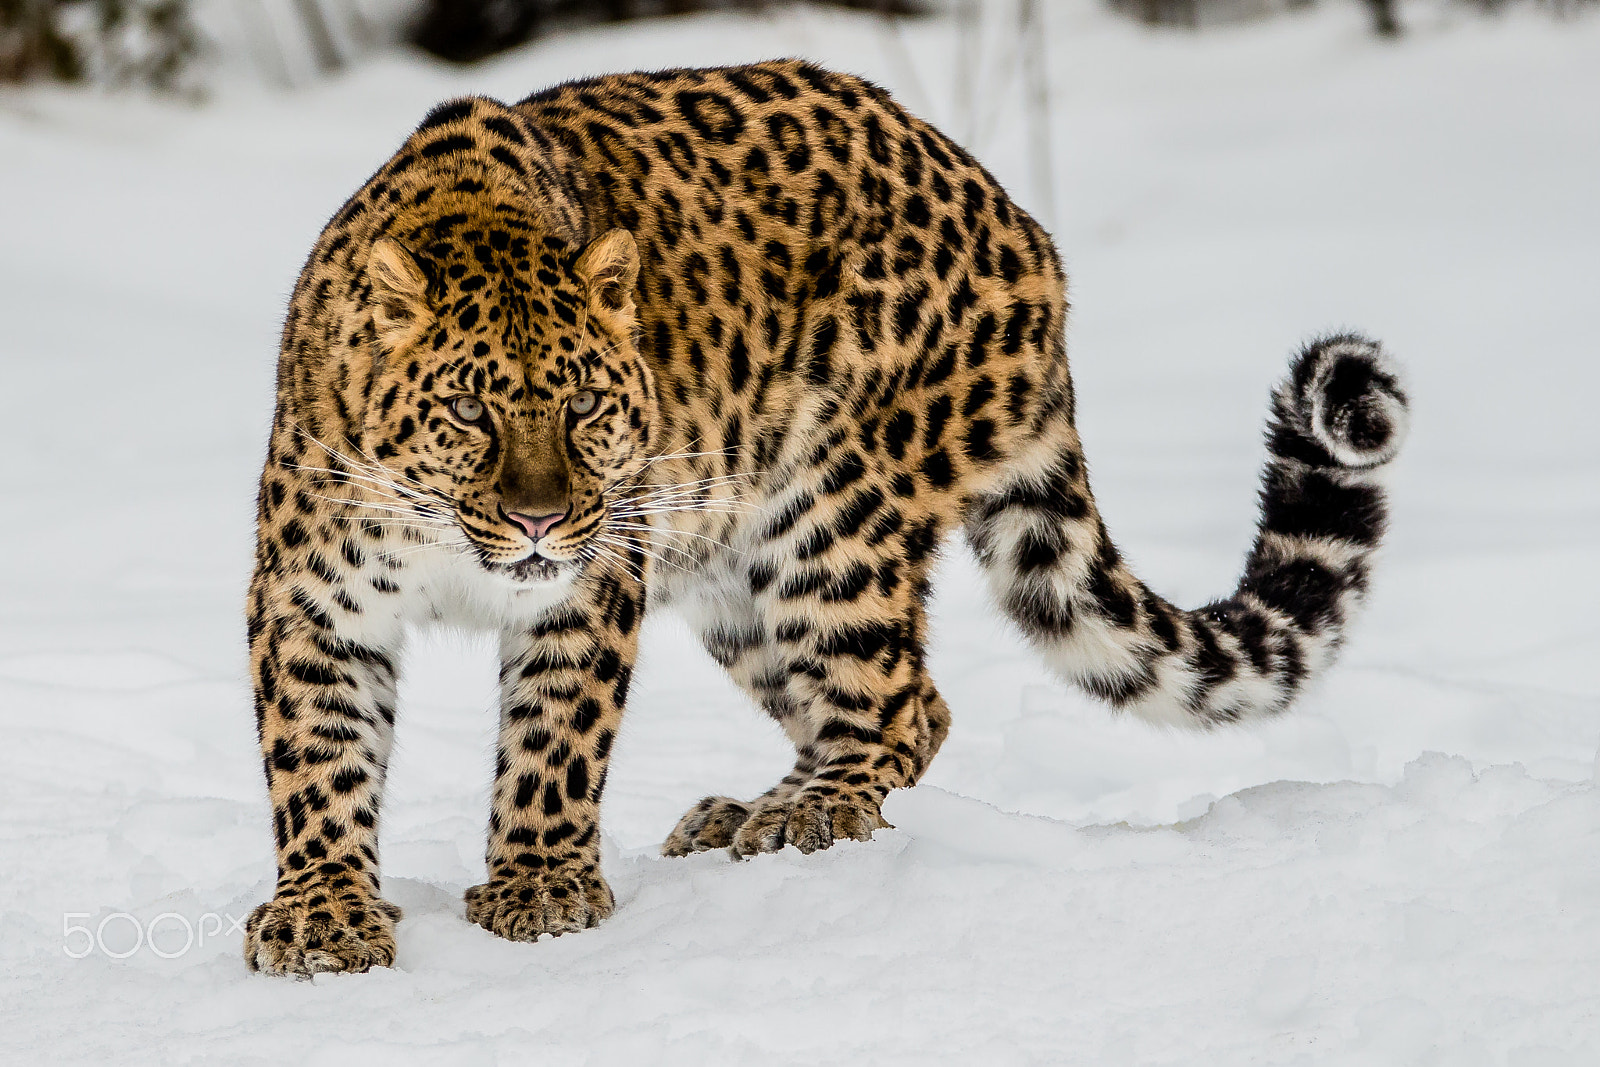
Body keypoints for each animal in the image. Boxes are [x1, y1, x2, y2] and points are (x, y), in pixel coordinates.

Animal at [242, 59, 1410, 976]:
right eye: (469, 411)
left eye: (584, 407)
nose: (538, 521)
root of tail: (1024, 231)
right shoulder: (311, 599)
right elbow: (317, 757)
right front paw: (323, 911)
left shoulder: (590, 583)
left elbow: (551, 741)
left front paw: (537, 884)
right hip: (731, 574)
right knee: (891, 706)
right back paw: (748, 812)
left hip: (833, 516)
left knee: (896, 705)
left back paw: (810, 811)